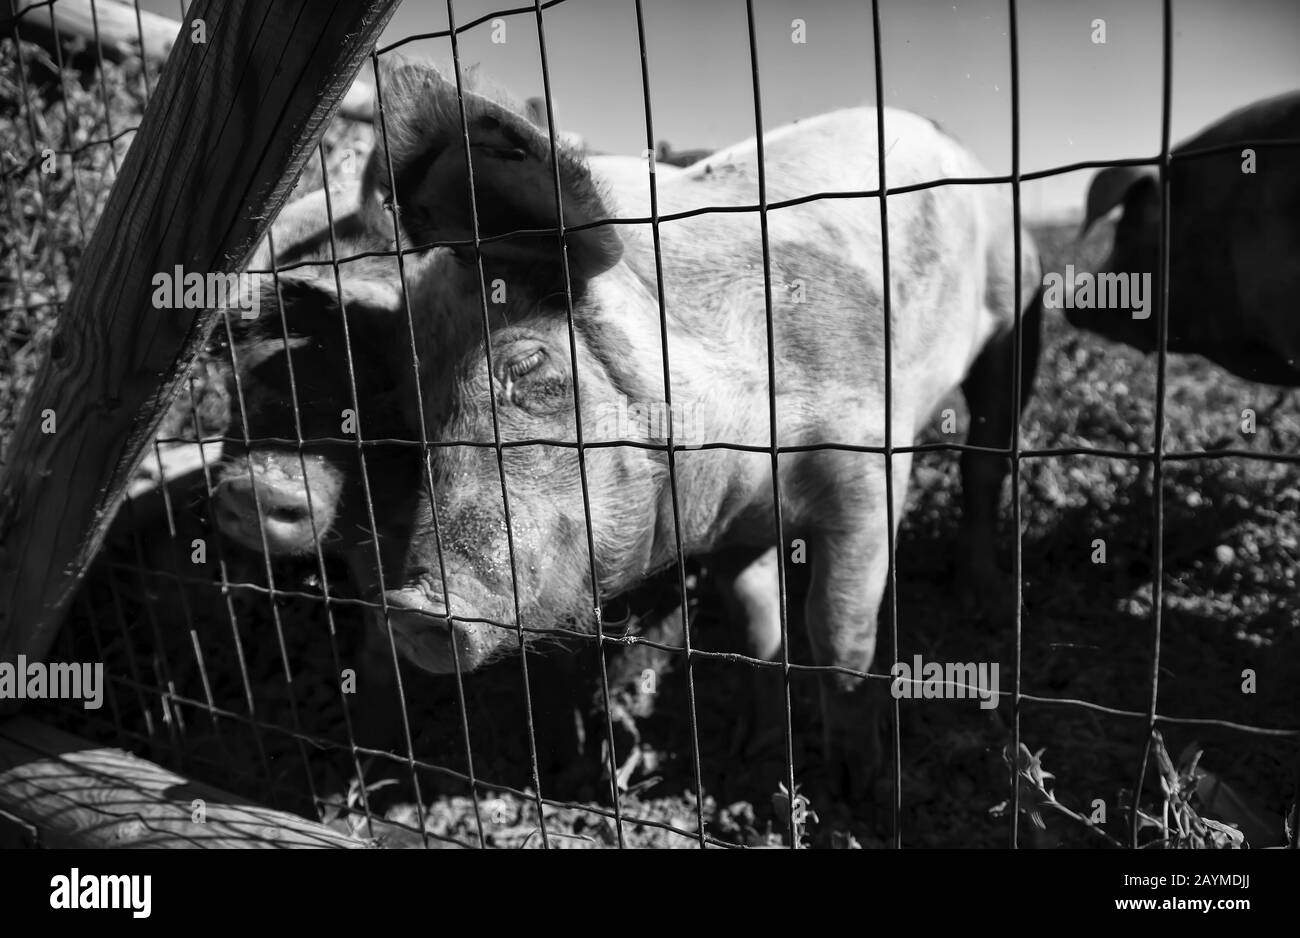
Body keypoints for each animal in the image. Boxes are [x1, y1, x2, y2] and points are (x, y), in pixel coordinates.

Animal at [366, 62, 1045, 795]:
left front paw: (858, 786)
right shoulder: (730, 526)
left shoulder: (869, 462)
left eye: (525, 364)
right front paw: (753, 750)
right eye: (412, 413)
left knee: (986, 458)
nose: (408, 608)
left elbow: (839, 631)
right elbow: (756, 627)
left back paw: (983, 600)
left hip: (1019, 305)